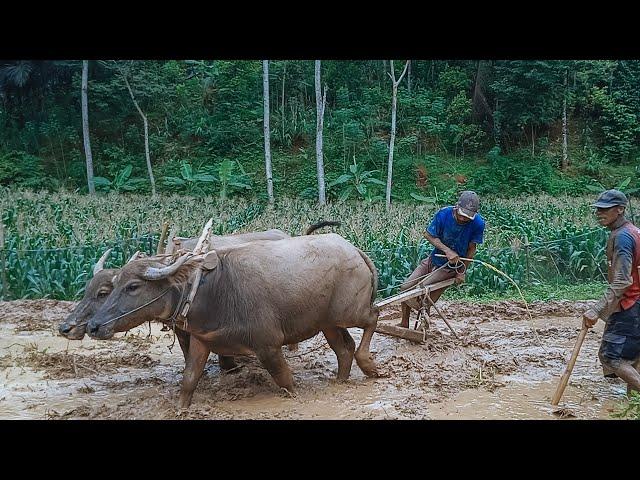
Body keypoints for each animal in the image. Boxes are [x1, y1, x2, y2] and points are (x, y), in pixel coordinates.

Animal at [87, 233, 378, 408]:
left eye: (133, 286)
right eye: (112, 286)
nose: (93, 326)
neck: (212, 290)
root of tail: (354, 250)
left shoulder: (268, 346)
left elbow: (285, 380)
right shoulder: (201, 341)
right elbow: (189, 378)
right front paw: (181, 407)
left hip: (351, 312)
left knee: (372, 319)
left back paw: (369, 365)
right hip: (328, 323)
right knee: (344, 348)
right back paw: (341, 380)